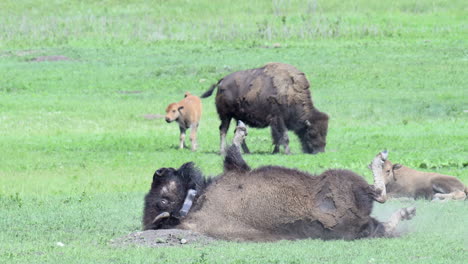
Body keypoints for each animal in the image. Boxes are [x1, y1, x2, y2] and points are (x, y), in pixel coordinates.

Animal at [201, 62, 330, 155]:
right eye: (312, 133)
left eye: (325, 133)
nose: (320, 152)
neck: (290, 92)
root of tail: (222, 81)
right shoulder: (278, 119)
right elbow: (284, 136)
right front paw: (288, 152)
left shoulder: (275, 122)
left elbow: (277, 138)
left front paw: (275, 152)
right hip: (226, 116)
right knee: (223, 130)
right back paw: (223, 152)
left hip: (237, 117)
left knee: (239, 132)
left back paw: (247, 152)